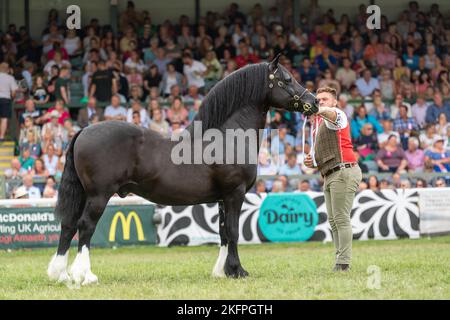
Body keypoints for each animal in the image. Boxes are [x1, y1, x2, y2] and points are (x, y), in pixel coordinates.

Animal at [47, 55, 318, 284]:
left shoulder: (222, 198)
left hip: (84, 194)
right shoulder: (235, 193)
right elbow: (233, 231)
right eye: (287, 79)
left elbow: (222, 233)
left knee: (68, 225)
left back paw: (60, 274)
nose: (314, 102)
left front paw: (222, 271)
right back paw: (84, 275)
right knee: (85, 226)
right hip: (99, 196)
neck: (229, 136)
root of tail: (83, 130)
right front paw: (237, 270)